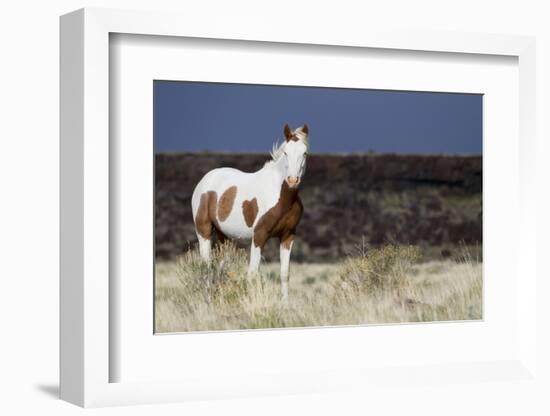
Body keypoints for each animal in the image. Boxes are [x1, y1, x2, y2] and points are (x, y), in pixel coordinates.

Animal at [192, 123, 308, 300]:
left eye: (305, 153)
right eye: (286, 152)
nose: (293, 180)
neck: (281, 196)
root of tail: (204, 181)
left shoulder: (288, 236)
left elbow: (284, 274)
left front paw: (285, 304)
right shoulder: (259, 236)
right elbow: (252, 274)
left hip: (224, 237)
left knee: (219, 269)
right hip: (203, 233)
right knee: (206, 268)